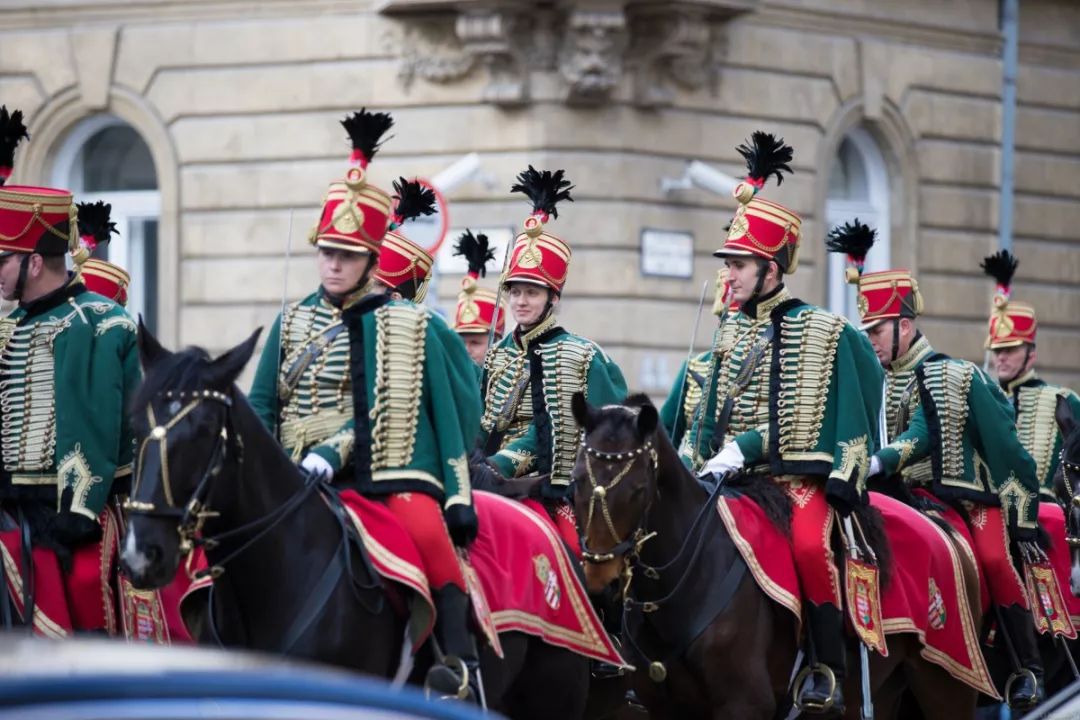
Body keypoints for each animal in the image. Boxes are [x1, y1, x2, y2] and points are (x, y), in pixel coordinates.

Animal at [574, 395, 989, 720]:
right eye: (577, 480)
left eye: (638, 488)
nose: (602, 584)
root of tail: (941, 526)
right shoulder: (662, 708)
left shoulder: (743, 705)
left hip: (946, 684)